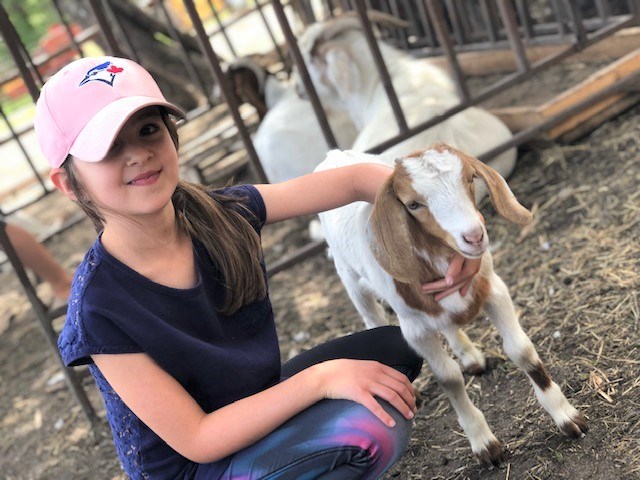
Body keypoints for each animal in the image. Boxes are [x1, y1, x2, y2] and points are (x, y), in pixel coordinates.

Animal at [312, 143, 588, 464]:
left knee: (447, 323)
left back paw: (469, 355)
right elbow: (449, 379)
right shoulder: (415, 330)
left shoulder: (493, 288)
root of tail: (334, 155)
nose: (474, 236)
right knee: (372, 317)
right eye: (413, 204)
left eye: (469, 178)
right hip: (349, 277)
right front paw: (484, 445)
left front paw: (566, 416)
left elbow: (521, 350)